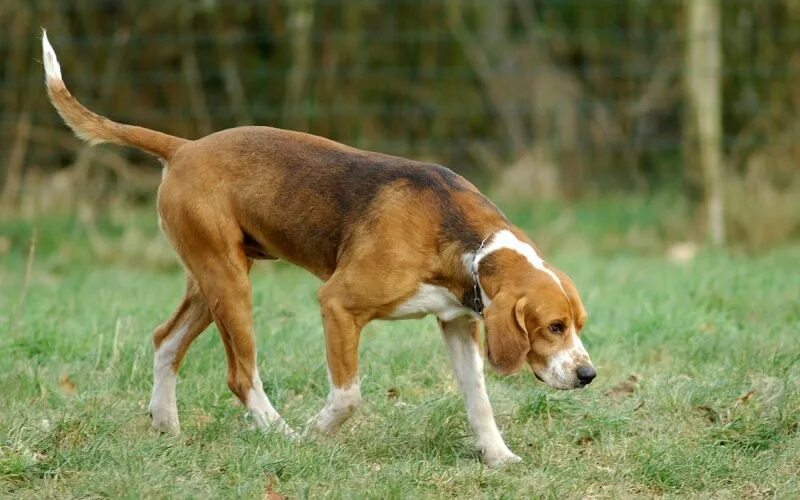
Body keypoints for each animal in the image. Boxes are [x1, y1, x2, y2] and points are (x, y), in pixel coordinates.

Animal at [43, 31, 592, 468]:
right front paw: (315, 433)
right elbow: (348, 396)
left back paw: (166, 424)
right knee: (240, 376)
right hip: (230, 285)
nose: (587, 374)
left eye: (578, 325)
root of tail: (185, 147)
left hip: (210, 283)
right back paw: (280, 434)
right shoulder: (339, 306)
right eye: (553, 327)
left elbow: (478, 401)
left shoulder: (457, 324)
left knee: (165, 341)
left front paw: (497, 456)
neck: (467, 244)